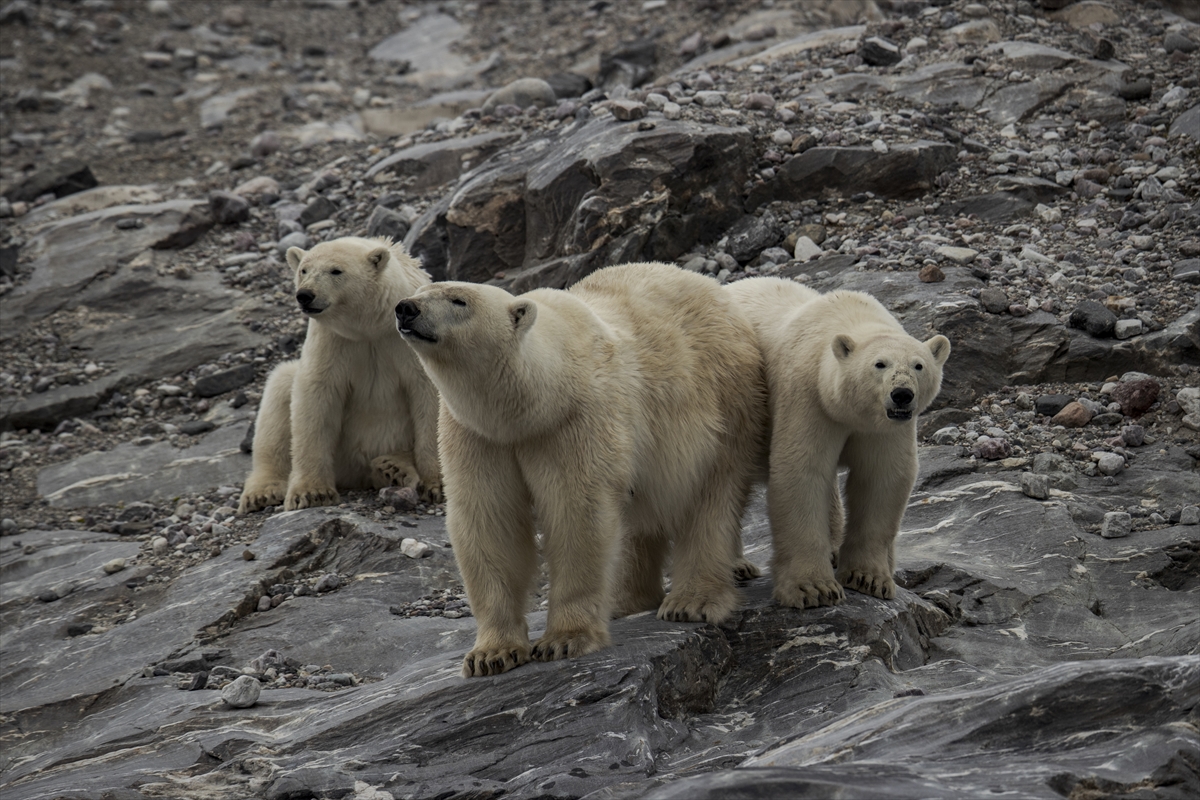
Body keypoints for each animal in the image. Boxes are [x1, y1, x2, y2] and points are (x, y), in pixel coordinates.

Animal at [236, 236, 444, 513]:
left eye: (336, 271)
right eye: (304, 270)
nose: (305, 295)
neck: (372, 326)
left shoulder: (410, 341)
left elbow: (430, 396)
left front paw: (437, 484)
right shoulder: (334, 341)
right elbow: (316, 399)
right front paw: (311, 493)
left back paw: (394, 467)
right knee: (278, 396)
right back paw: (261, 492)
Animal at [396, 262, 768, 676]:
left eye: (459, 300)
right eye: (421, 291)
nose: (405, 309)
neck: (537, 398)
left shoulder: (576, 419)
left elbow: (577, 511)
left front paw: (564, 640)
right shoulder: (477, 435)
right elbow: (490, 519)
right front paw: (491, 654)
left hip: (723, 402)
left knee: (711, 497)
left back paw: (692, 601)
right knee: (639, 519)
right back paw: (627, 601)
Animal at [724, 278, 950, 609]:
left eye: (918, 365)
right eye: (879, 364)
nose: (902, 394)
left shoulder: (884, 428)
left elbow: (882, 478)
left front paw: (869, 578)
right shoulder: (807, 396)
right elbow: (801, 472)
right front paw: (814, 589)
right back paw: (736, 566)